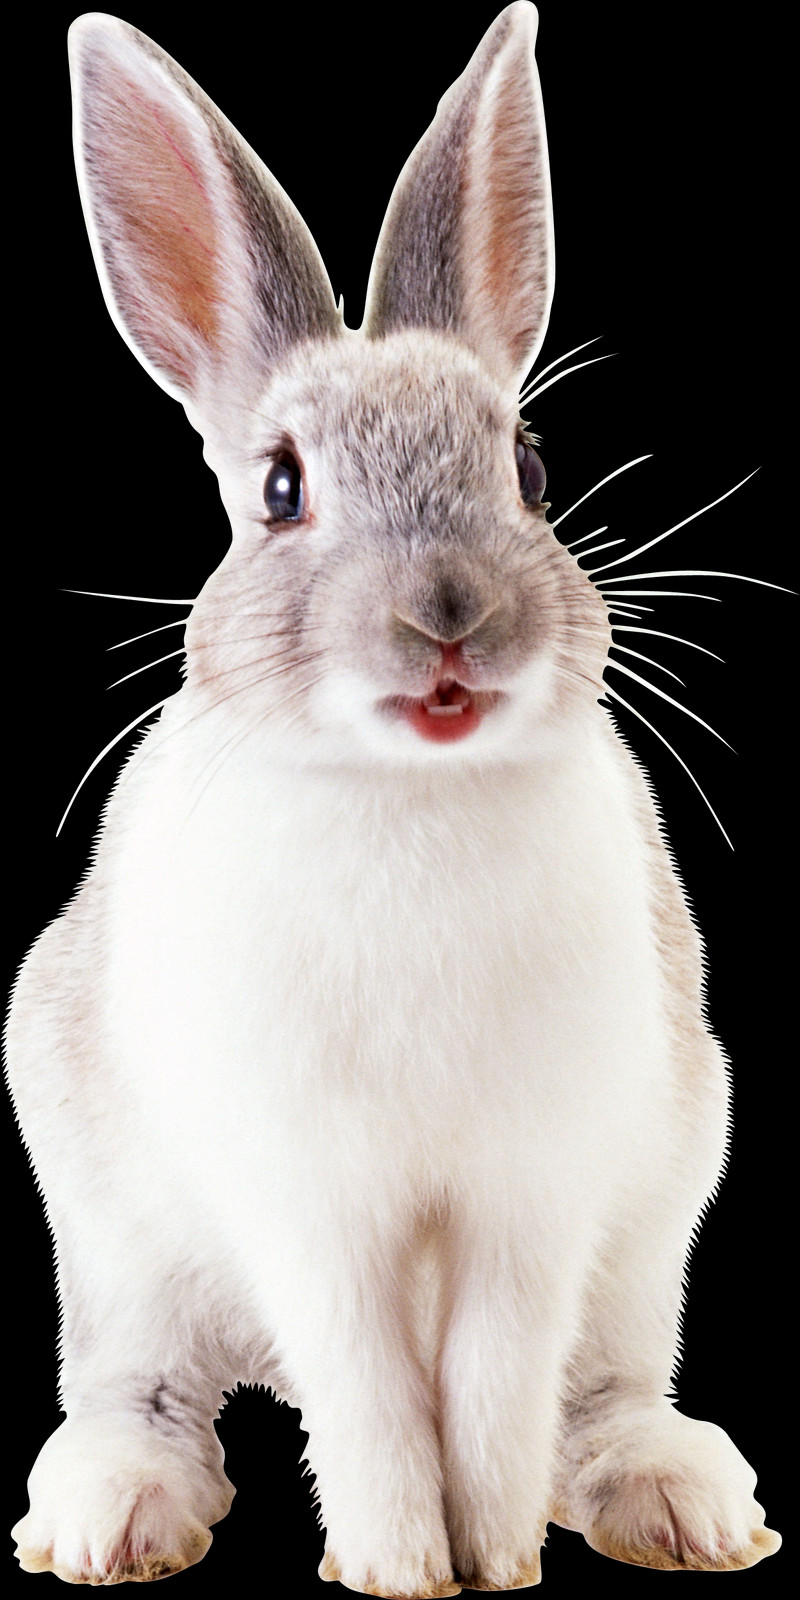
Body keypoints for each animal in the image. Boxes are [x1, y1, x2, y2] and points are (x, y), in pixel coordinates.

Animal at [5, 4, 781, 1594]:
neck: (411, 796)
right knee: (139, 1383)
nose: (449, 619)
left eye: (531, 469)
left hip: (654, 1221)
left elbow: (490, 1394)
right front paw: (396, 1568)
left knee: (602, 1389)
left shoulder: (531, 1198)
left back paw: (678, 1501)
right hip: (113, 1238)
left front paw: (491, 1562)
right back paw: (111, 1515)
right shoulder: (313, 1204)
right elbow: (369, 1394)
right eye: (279, 489)